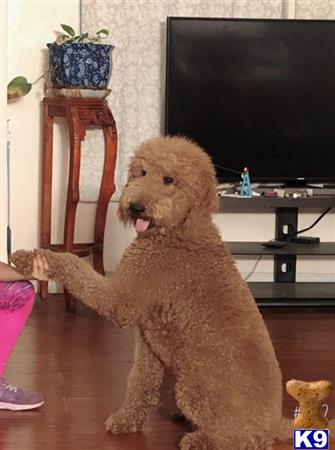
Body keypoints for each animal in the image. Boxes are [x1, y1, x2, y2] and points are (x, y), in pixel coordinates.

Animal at [13, 136, 292, 450]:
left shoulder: (119, 301)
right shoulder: (148, 344)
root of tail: (275, 423)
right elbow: (139, 382)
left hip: (193, 386)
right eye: (142, 172)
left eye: (169, 179)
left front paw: (30, 258)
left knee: (242, 439)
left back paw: (199, 439)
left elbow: (74, 265)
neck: (177, 231)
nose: (135, 207)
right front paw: (127, 420)